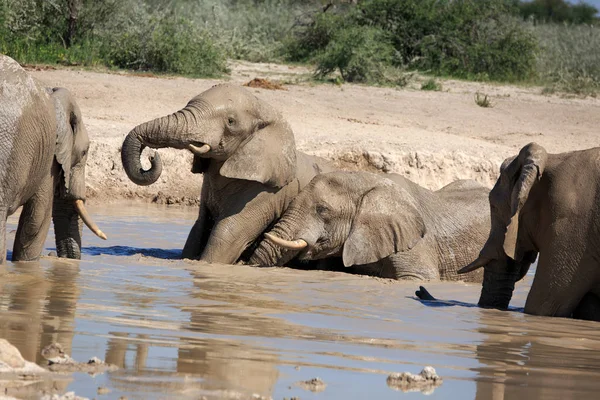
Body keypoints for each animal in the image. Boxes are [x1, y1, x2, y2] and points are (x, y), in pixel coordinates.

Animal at [120, 83, 338, 266]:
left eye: (231, 122)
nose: (152, 156)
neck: (267, 111)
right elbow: (198, 230)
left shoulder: (266, 192)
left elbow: (227, 234)